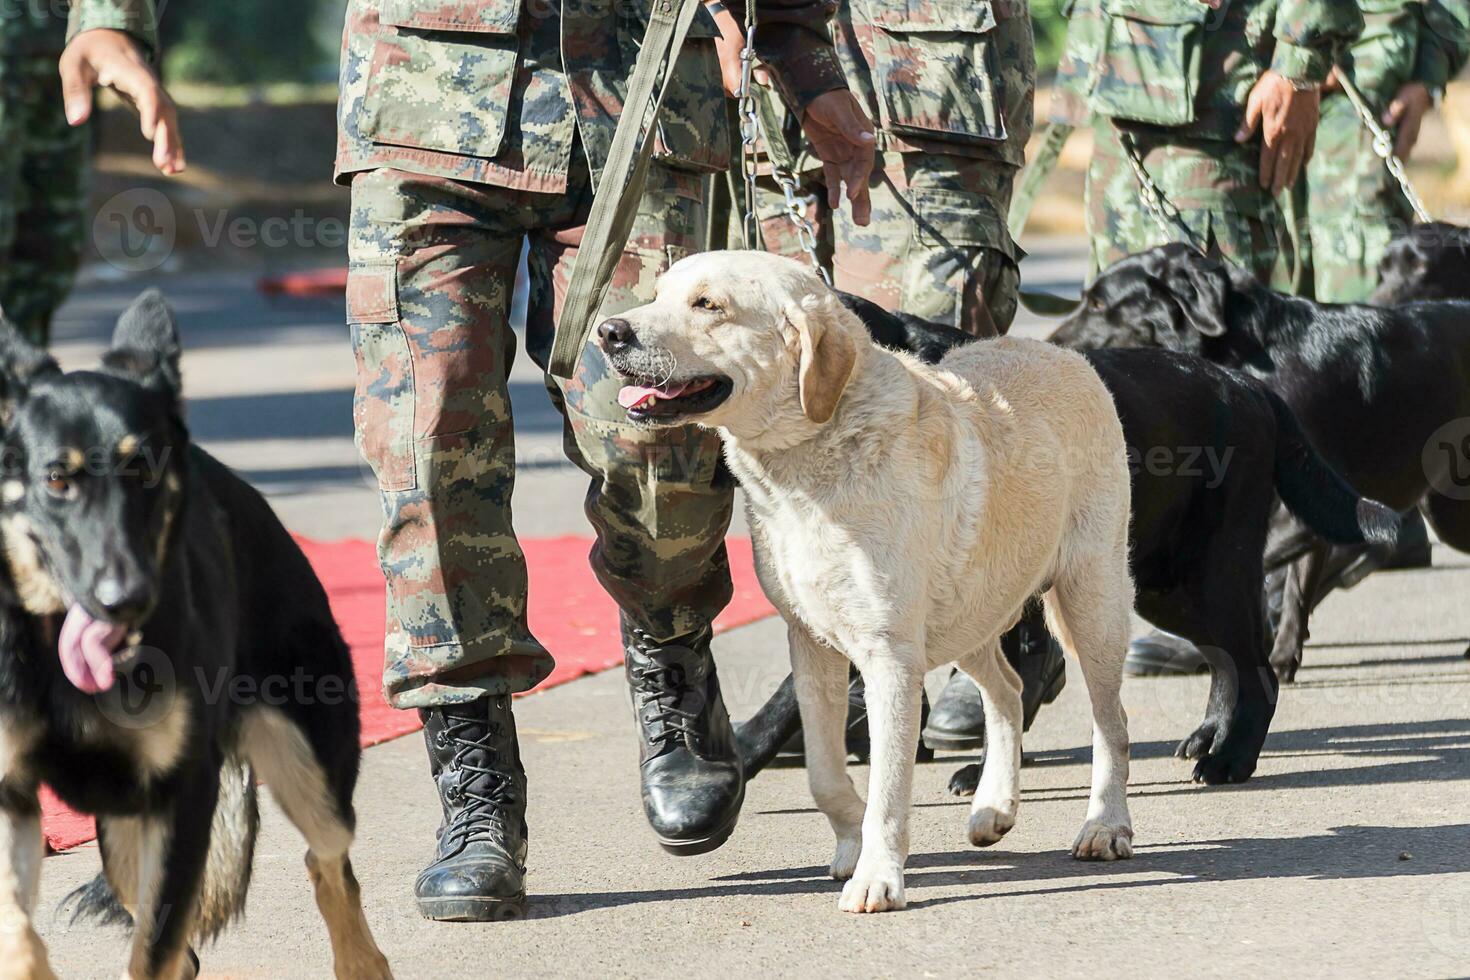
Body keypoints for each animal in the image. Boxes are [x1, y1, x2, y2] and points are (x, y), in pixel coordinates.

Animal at [0, 295, 391, 980]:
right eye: (57, 481)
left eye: (145, 473)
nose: (126, 598)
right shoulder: (14, 793)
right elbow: (19, 931)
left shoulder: (182, 798)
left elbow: (153, 949)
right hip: (123, 838)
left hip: (310, 777)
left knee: (326, 862)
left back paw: (363, 962)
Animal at [596, 252, 1134, 910]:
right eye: (659, 292)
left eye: (708, 305)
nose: (609, 332)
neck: (805, 466)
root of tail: (1060, 350)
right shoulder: (811, 643)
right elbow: (825, 774)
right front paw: (853, 841)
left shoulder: (890, 655)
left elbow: (889, 782)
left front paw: (879, 874)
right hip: (965, 613)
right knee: (1006, 690)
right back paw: (994, 806)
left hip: (1089, 599)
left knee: (1111, 723)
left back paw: (1106, 825)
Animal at [740, 293, 1393, 787]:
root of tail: (1246, 383)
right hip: (1164, 584)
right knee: (1228, 662)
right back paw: (1210, 736)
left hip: (1202, 576)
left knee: (1255, 669)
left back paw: (1230, 760)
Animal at [1058, 240, 1470, 678]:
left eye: (1099, 303)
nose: (1055, 344)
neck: (1255, 350)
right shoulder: (1314, 515)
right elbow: (1296, 591)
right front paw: (1284, 656)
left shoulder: (1302, 511)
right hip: (1445, 509)